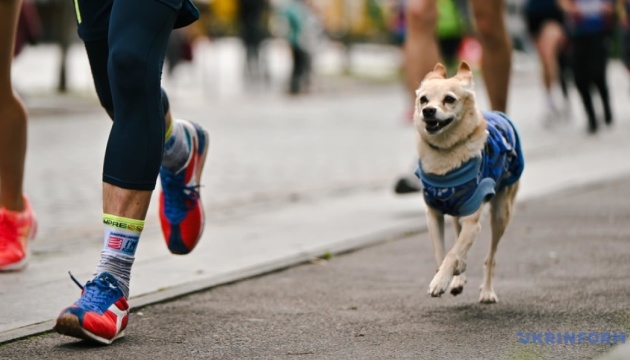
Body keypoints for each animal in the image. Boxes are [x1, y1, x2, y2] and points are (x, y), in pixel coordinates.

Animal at [412, 62, 524, 304]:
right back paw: (458, 278)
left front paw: (440, 282)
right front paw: (446, 276)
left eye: (449, 99)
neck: (446, 154)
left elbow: (453, 252)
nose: (428, 111)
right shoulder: (434, 213)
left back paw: (487, 292)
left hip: (501, 213)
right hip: (457, 212)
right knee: (457, 236)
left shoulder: (473, 220)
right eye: (423, 99)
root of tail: (500, 115)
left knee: (490, 257)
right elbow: (442, 252)